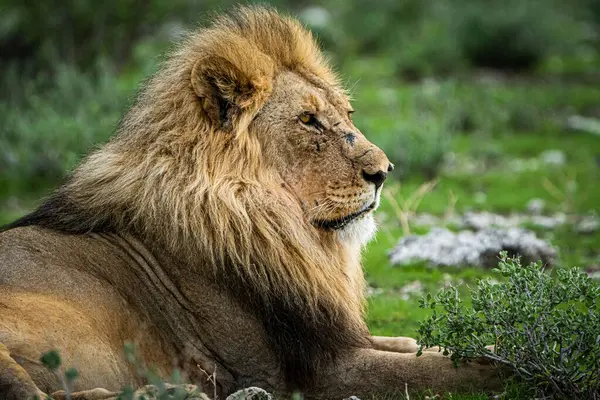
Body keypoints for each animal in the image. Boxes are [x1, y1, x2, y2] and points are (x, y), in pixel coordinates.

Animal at [0, 7, 496, 400]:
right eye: (308, 120)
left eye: (347, 114)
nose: (383, 172)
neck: (277, 223)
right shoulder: (313, 372)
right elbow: (444, 368)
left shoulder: (335, 337)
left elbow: (420, 346)